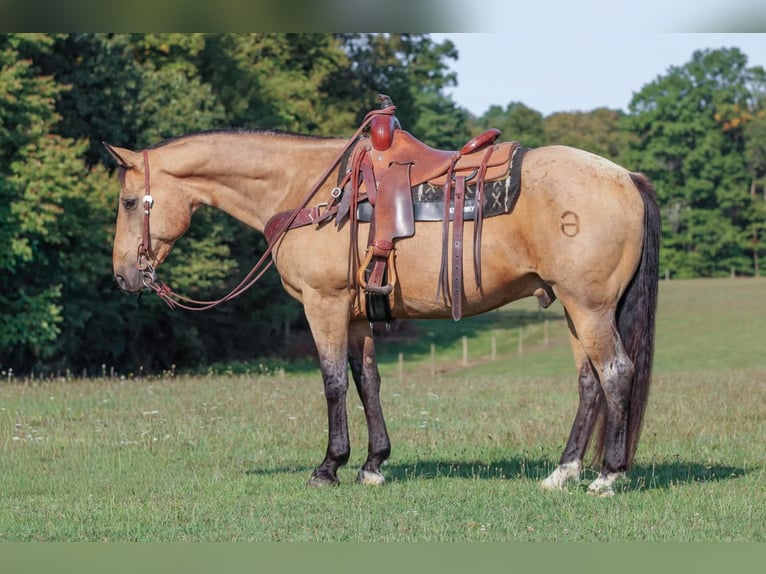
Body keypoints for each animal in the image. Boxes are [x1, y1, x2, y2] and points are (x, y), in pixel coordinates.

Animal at [106, 114, 660, 497]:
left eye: (130, 203)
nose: (123, 276)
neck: (306, 188)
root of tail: (625, 176)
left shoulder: (323, 305)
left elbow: (332, 383)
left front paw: (328, 467)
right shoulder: (355, 316)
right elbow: (366, 381)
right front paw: (373, 464)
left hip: (589, 308)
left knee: (615, 373)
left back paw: (607, 477)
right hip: (574, 309)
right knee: (589, 383)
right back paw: (562, 472)